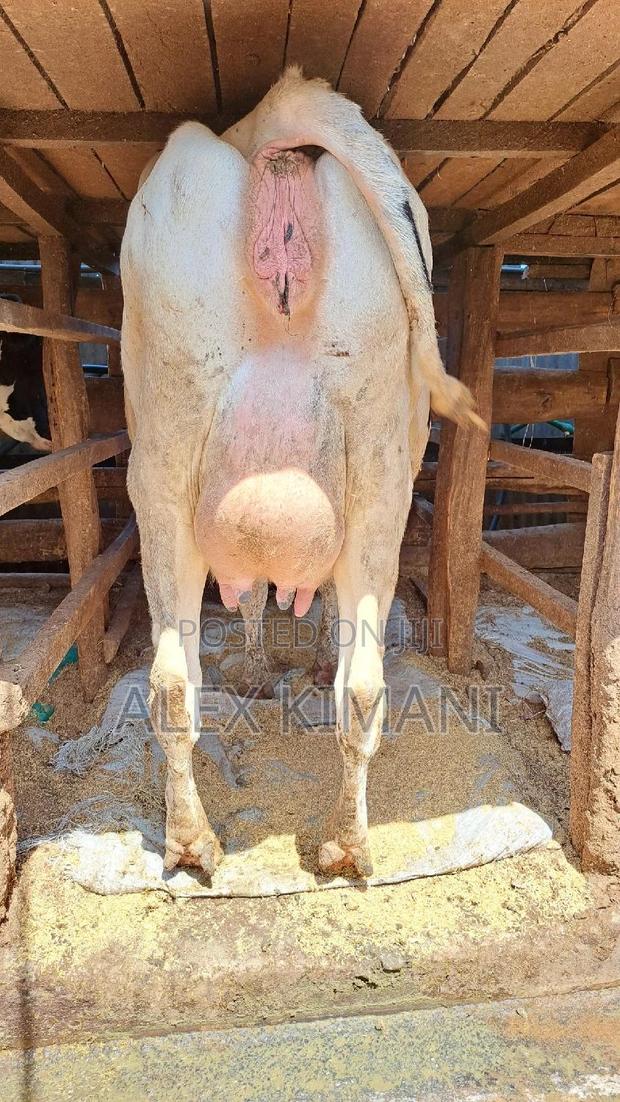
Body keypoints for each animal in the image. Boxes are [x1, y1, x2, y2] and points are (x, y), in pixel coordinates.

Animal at [121, 68, 480, 879]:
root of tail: (278, 124)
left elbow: (257, 596)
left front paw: (260, 670)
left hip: (162, 466)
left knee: (172, 682)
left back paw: (194, 844)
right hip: (380, 471)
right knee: (360, 685)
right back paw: (344, 847)